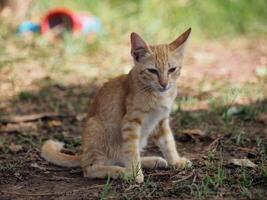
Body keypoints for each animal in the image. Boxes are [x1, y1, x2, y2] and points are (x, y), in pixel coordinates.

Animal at [41, 28, 193, 183]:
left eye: (172, 70)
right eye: (152, 71)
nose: (164, 84)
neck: (158, 94)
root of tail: (83, 156)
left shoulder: (160, 121)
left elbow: (168, 142)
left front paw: (175, 161)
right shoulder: (130, 122)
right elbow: (132, 151)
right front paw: (135, 174)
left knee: (121, 158)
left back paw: (150, 161)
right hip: (96, 129)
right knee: (91, 169)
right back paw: (121, 172)